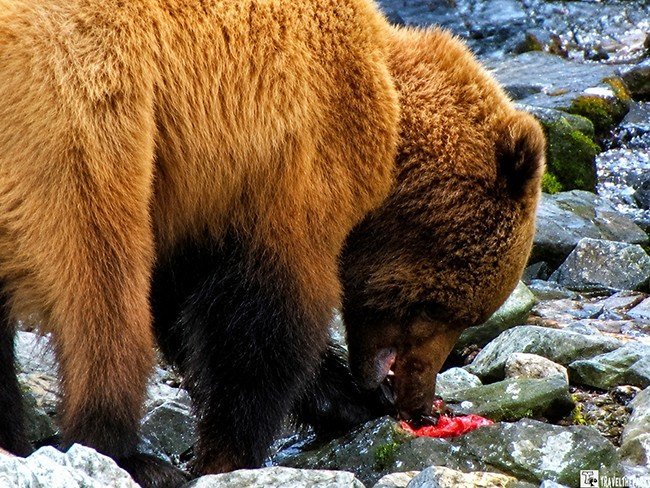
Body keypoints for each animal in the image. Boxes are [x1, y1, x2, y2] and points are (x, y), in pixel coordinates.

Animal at [0, 0, 398, 486]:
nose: (406, 389)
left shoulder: (200, 196)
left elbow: (186, 300)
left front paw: (350, 399)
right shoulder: (299, 153)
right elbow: (265, 315)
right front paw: (229, 453)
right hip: (76, 116)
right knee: (104, 292)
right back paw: (122, 451)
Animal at [151, 23, 545, 480]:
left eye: (466, 318)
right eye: (436, 308)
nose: (421, 403)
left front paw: (348, 402)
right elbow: (260, 319)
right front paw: (230, 449)